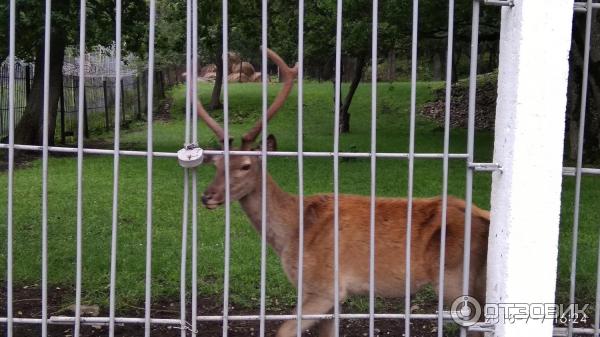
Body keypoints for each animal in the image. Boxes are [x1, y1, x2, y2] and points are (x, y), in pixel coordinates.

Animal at [195, 48, 490, 334]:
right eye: (216, 164)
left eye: (245, 165)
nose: (207, 196)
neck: (292, 233)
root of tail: (483, 216)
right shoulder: (329, 296)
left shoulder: (325, 285)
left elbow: (284, 330)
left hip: (455, 276)